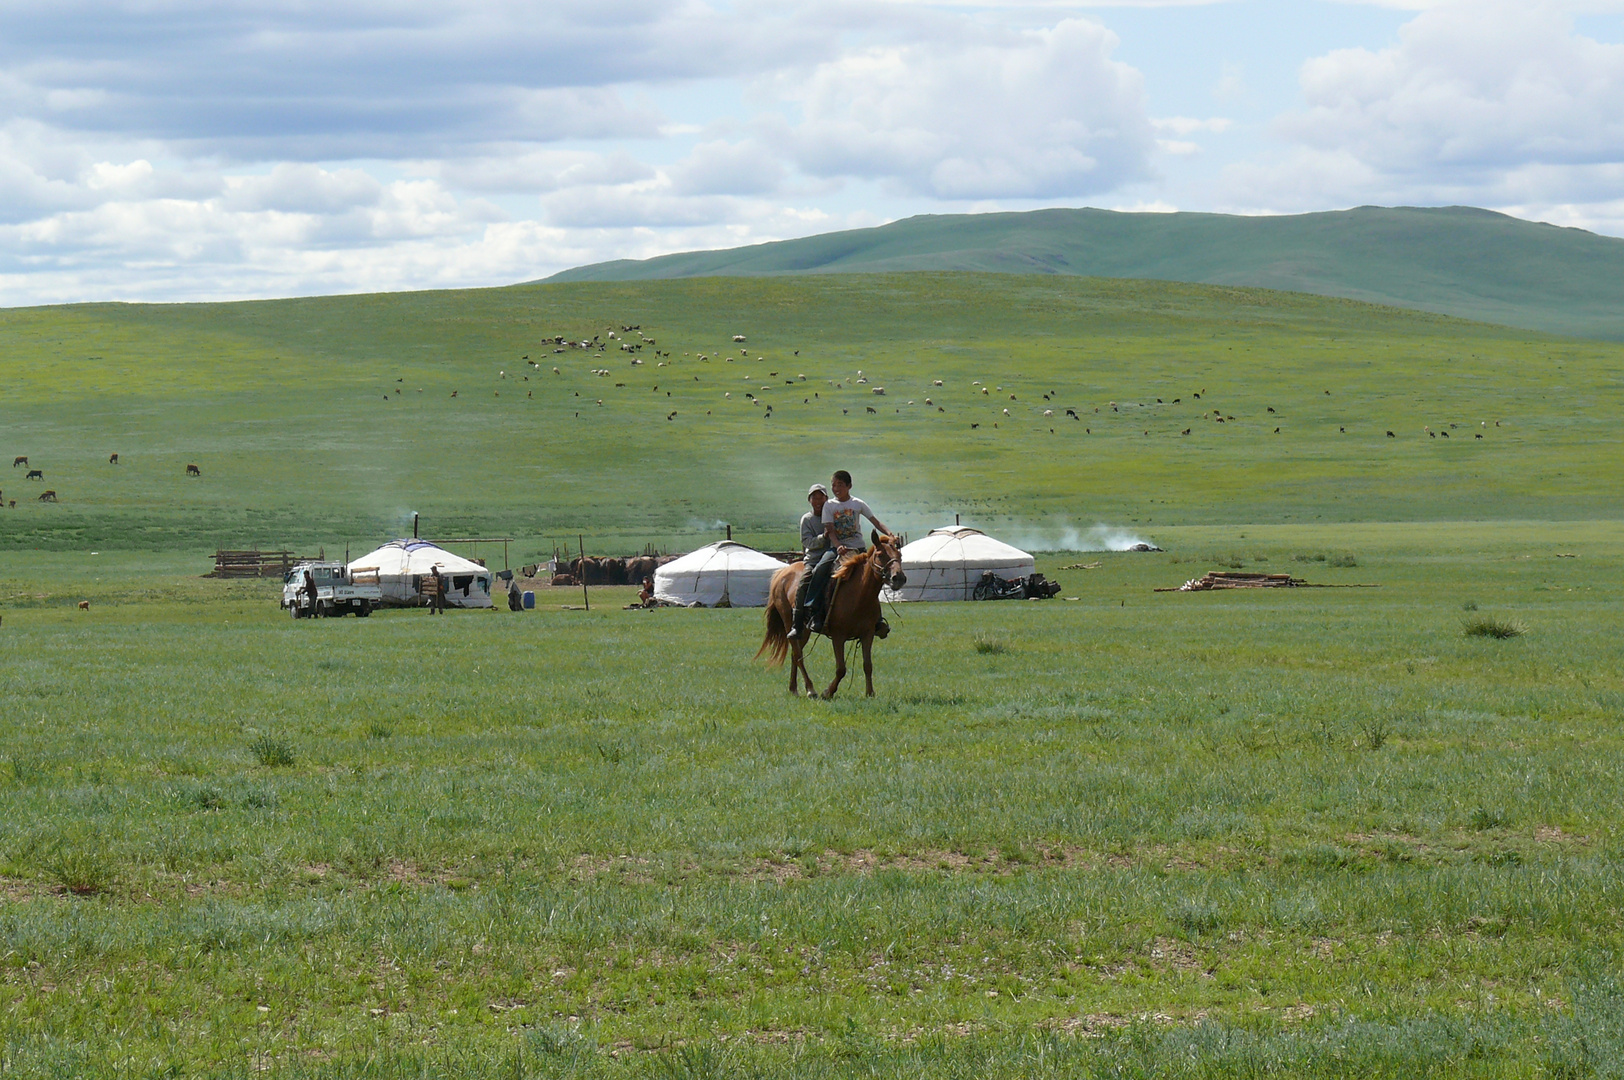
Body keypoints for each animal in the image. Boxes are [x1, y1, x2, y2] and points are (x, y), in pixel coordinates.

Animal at [756, 529, 909, 698]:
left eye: (900, 555)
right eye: (881, 554)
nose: (898, 578)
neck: (858, 594)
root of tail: (782, 572)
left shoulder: (867, 634)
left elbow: (867, 665)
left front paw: (870, 693)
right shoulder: (838, 636)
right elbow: (841, 669)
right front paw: (827, 692)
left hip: (805, 630)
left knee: (795, 655)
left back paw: (794, 688)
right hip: (789, 622)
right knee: (798, 655)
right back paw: (811, 690)